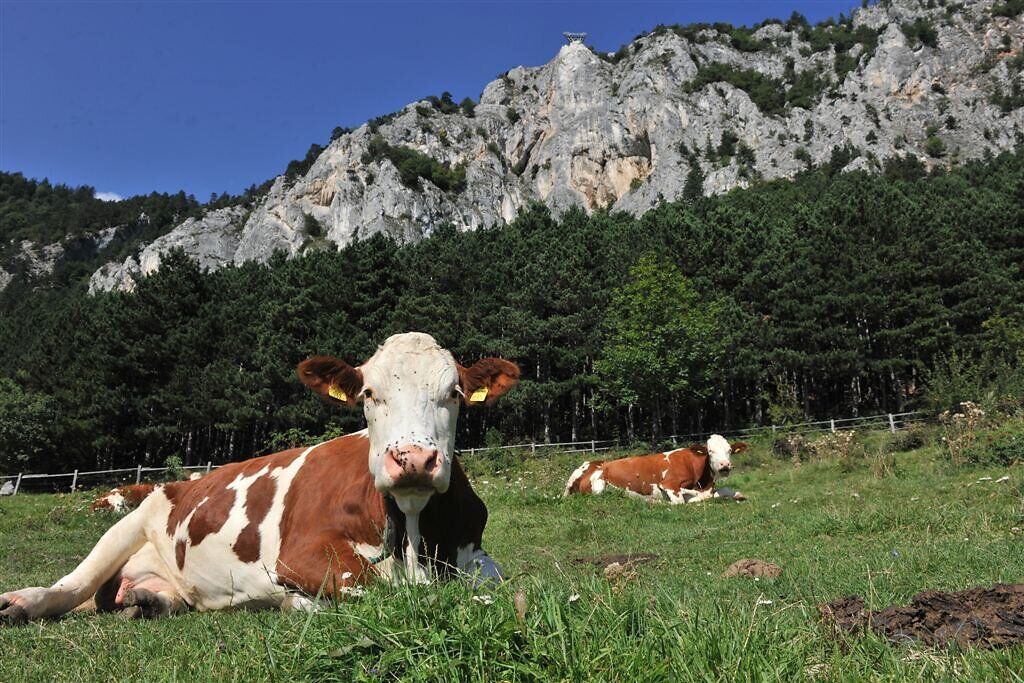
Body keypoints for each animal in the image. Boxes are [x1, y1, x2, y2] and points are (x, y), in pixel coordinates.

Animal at [0, 332, 519, 623]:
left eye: (453, 393)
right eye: (369, 394)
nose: (413, 458)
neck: (411, 532)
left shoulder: (476, 554)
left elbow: (500, 587)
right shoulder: (301, 553)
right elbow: (367, 584)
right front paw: (293, 603)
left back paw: (147, 601)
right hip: (130, 523)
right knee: (71, 586)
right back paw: (22, 603)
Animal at [563, 434, 748, 504]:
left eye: (729, 450)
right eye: (710, 451)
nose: (725, 465)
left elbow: (726, 490)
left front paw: (738, 495)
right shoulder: (669, 484)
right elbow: (682, 500)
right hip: (599, 485)